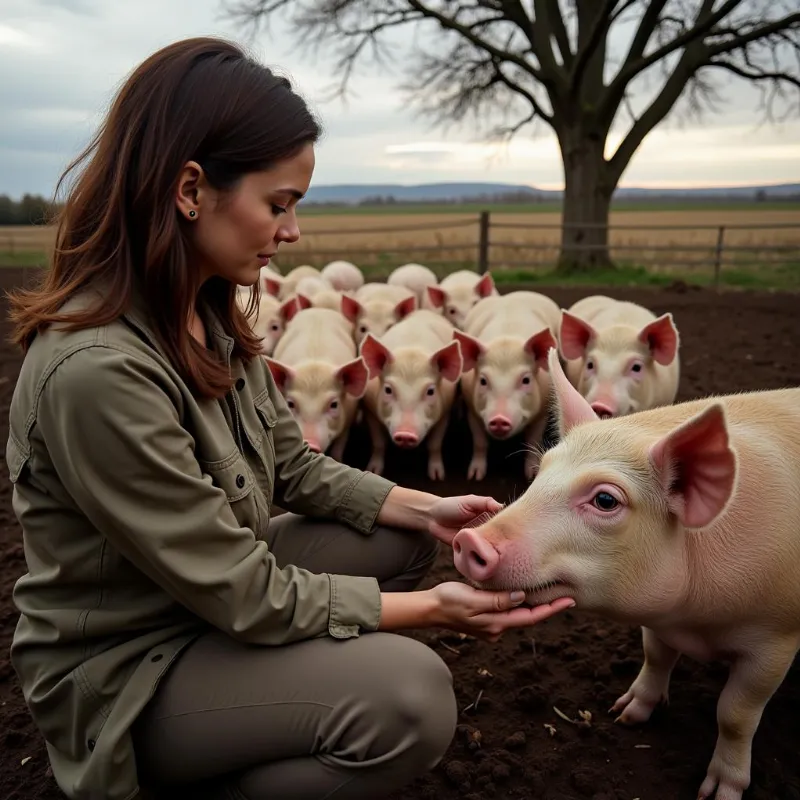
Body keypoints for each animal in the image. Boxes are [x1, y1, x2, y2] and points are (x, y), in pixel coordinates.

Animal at [266, 306, 372, 460]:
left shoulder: (348, 419)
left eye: (334, 404)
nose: (310, 443)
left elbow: (338, 448)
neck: (314, 362)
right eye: (290, 404)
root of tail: (319, 309)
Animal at [360, 310, 466, 478]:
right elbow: (378, 444)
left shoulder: (444, 410)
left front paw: (437, 476)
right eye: (388, 389)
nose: (405, 434)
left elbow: (435, 444)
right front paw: (374, 471)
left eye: (430, 391)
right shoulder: (370, 409)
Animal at [454, 292, 560, 482]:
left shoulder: (542, 411)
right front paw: (475, 477)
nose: (499, 419)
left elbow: (533, 440)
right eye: (483, 381)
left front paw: (531, 476)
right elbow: (480, 442)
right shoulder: (472, 410)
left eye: (526, 380)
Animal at [454, 348, 800, 800]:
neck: (694, 622)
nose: (467, 540)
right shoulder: (658, 619)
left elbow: (735, 714)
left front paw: (718, 794)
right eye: (541, 472)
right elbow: (655, 657)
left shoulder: (777, 639)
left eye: (605, 500)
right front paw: (625, 715)